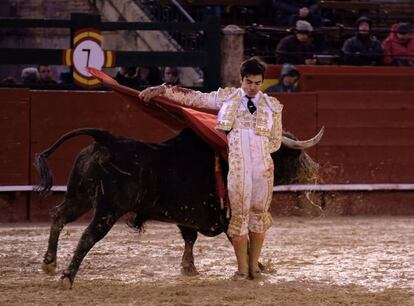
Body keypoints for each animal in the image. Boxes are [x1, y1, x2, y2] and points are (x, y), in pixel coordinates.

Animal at [36, 126, 316, 286]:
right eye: (294, 153)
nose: (313, 170)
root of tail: (108, 141)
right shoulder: (229, 214)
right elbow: (242, 240)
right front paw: (257, 268)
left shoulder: (186, 214)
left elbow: (189, 238)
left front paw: (188, 268)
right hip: (108, 209)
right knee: (88, 236)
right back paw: (67, 277)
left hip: (79, 197)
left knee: (58, 215)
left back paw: (50, 262)